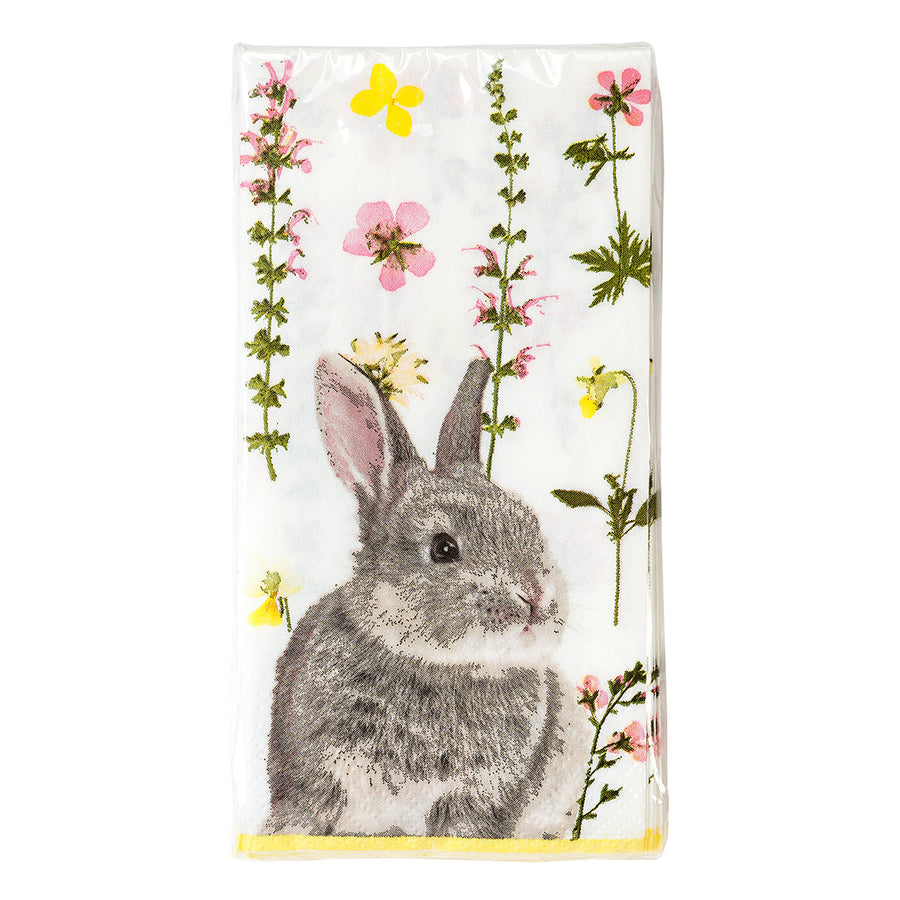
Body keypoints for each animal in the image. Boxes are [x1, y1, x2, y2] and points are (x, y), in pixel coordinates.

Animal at [263, 352, 593, 839]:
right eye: (443, 548)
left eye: (531, 525)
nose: (535, 597)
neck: (435, 665)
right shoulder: (317, 783)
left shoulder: (480, 799)